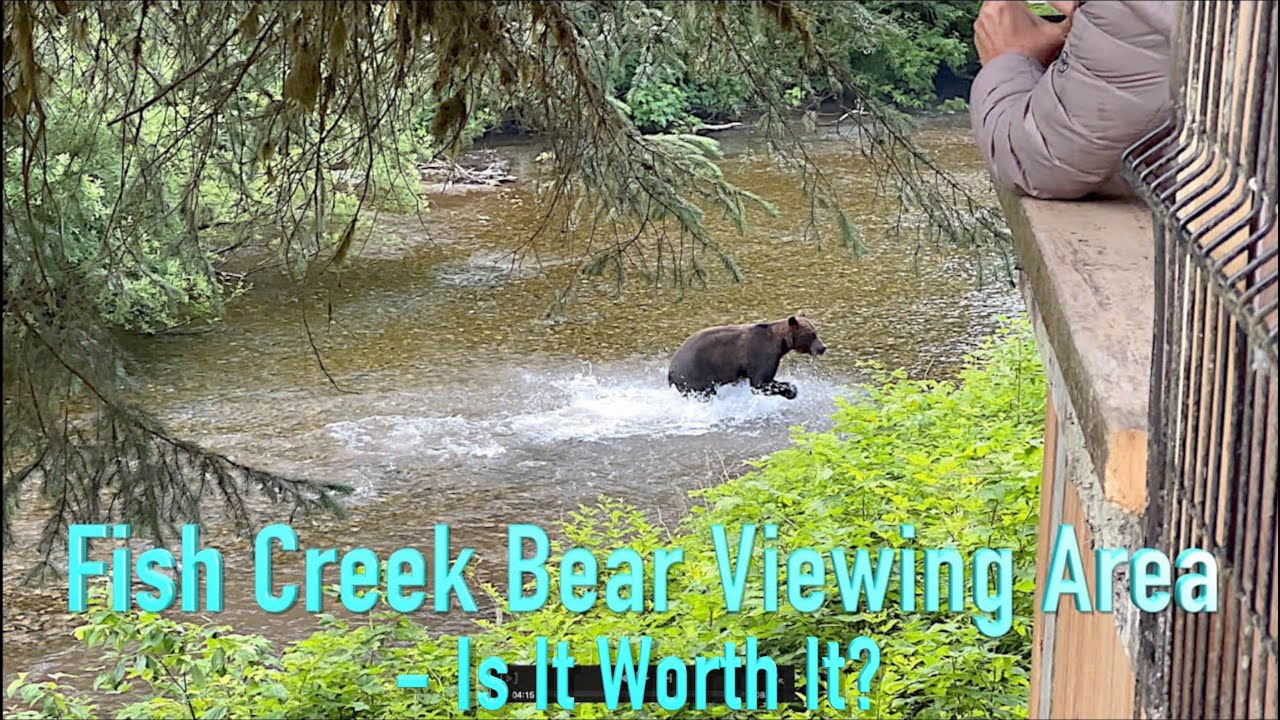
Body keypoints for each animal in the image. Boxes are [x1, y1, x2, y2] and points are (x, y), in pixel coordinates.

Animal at [667, 314, 826, 400]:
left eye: (815, 333)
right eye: (812, 334)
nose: (823, 347)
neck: (780, 343)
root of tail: (670, 370)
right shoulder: (761, 355)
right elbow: (760, 383)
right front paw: (791, 391)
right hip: (694, 374)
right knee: (704, 393)